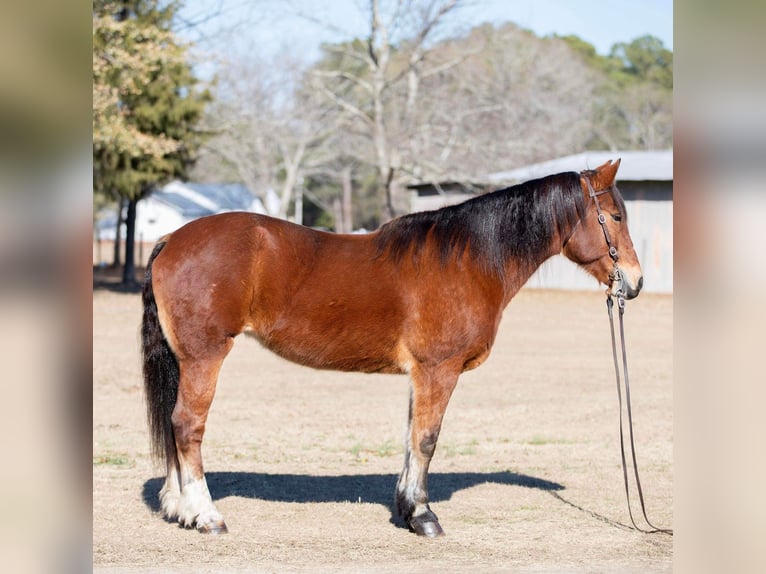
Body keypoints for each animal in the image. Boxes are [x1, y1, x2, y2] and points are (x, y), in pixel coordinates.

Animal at [142, 160, 640, 536]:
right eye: (615, 217)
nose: (633, 283)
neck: (467, 260)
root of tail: (171, 239)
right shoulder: (439, 370)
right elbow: (426, 439)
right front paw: (423, 516)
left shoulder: (421, 375)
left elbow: (410, 437)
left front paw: (406, 509)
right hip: (205, 357)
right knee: (187, 426)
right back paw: (206, 515)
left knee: (175, 424)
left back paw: (179, 507)